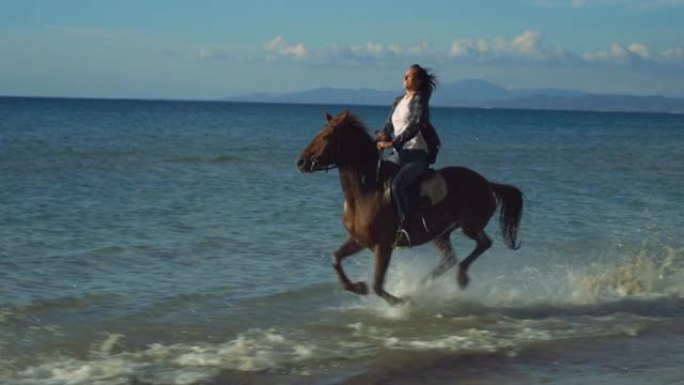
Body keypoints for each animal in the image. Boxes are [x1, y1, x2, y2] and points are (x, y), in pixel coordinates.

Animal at [296, 111, 524, 306]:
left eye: (326, 137)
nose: (300, 162)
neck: (366, 192)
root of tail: (488, 184)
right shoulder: (359, 240)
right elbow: (336, 258)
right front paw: (358, 287)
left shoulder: (383, 245)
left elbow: (377, 286)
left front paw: (403, 301)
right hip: (440, 234)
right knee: (450, 258)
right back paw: (424, 284)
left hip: (469, 226)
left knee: (483, 244)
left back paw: (459, 279)